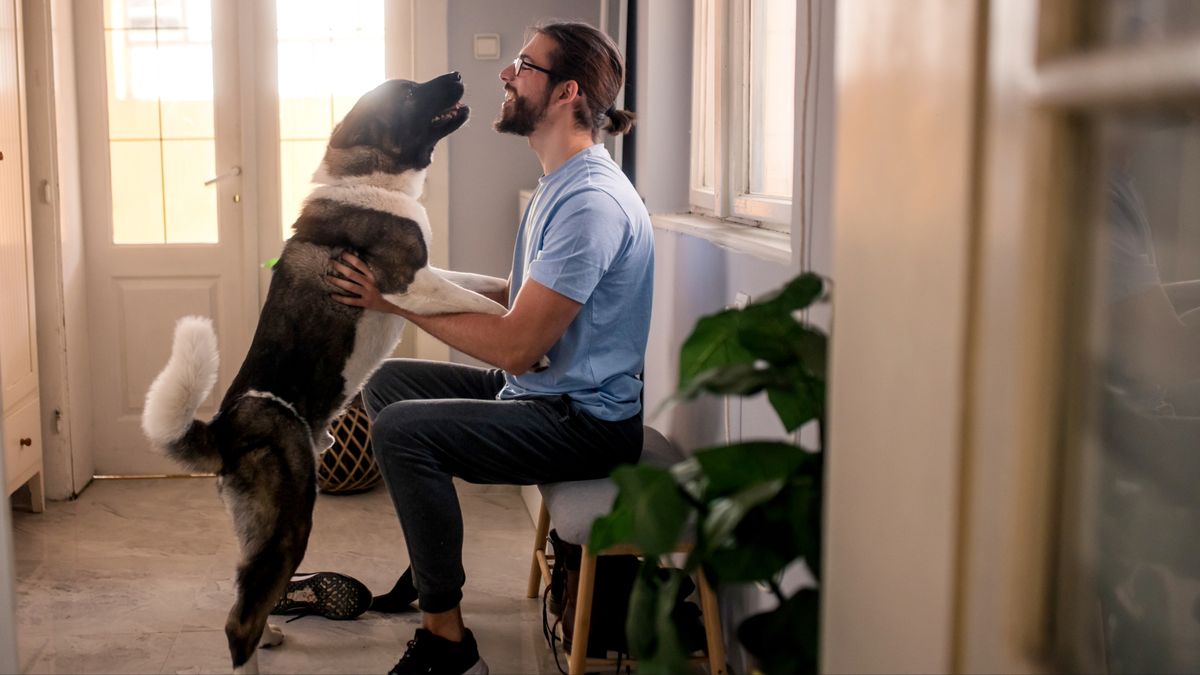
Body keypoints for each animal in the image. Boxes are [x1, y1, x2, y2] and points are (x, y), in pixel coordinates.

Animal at [142, 73, 513, 672]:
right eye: (410, 94)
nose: (457, 77)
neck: (371, 173)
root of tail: (224, 427)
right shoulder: (411, 284)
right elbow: (488, 310)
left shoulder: (434, 275)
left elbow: (481, 286)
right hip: (292, 520)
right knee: (238, 623)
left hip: (265, 530)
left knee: (248, 593)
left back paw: (272, 632)